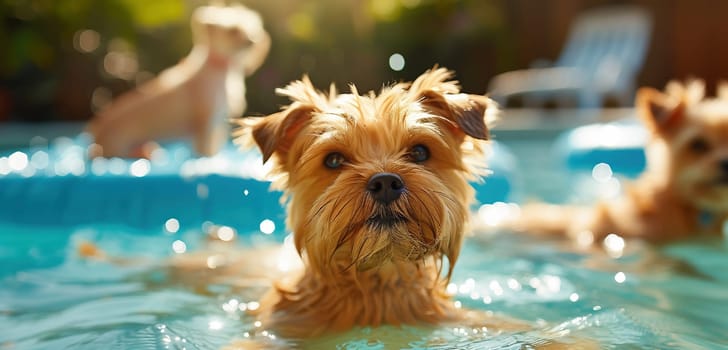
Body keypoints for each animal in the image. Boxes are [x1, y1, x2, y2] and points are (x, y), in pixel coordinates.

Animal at [87, 4, 270, 159]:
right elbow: (205, 149)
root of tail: (95, 134)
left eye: (253, 27)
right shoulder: (205, 123)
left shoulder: (217, 122)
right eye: (233, 31)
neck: (221, 69)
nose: (253, 40)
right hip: (117, 146)